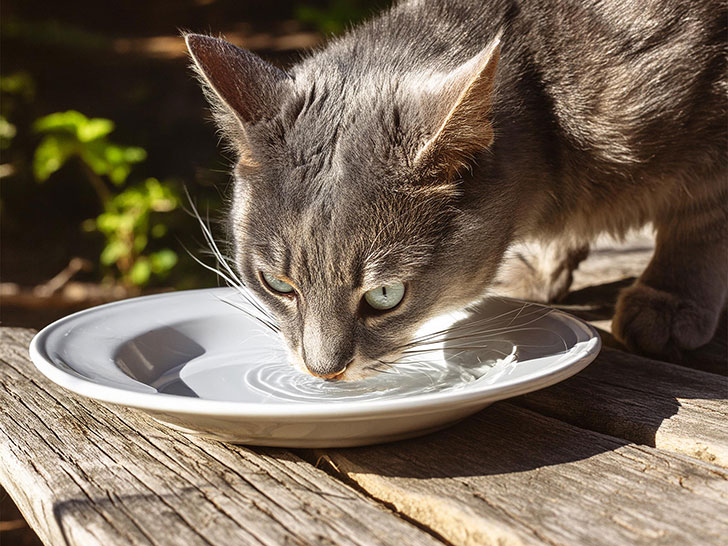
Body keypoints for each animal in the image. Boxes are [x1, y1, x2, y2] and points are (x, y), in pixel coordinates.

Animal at [185, 0, 724, 378]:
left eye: (386, 295)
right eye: (276, 284)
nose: (324, 371)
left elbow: (699, 220)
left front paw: (669, 298)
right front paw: (537, 268)